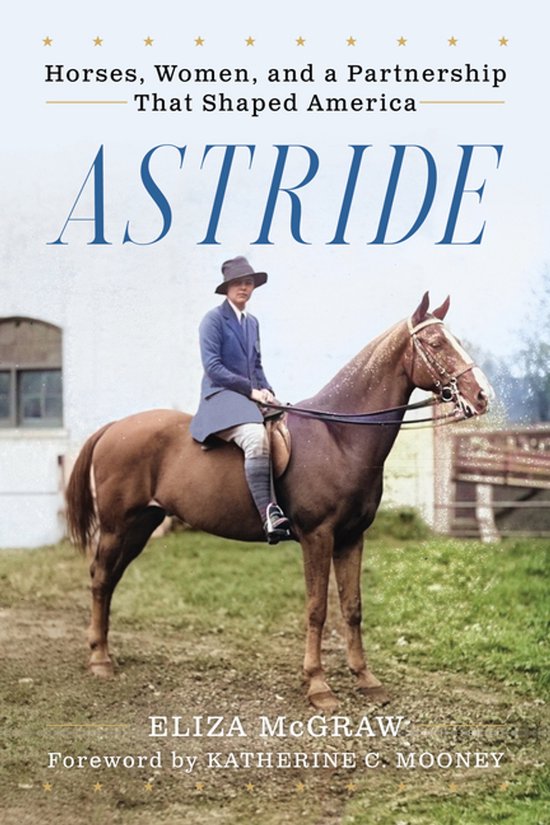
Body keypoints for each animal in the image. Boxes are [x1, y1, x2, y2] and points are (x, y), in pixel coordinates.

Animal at [66, 292, 491, 711]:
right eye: (435, 343)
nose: (483, 395)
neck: (339, 436)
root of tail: (112, 428)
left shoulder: (352, 537)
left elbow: (352, 607)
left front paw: (366, 680)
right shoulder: (318, 537)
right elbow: (317, 609)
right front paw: (318, 685)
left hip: (140, 525)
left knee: (111, 578)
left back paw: (103, 650)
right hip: (117, 527)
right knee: (101, 578)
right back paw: (100, 659)